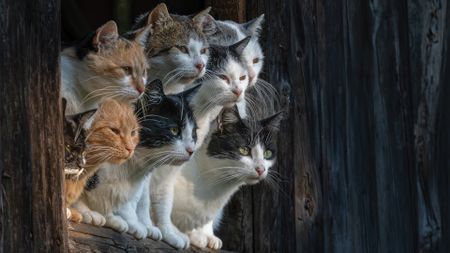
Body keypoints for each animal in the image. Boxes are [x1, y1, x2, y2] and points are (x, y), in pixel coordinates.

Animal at [74, 79, 197, 241]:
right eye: (174, 130)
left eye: (194, 133)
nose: (192, 150)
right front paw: (85, 211)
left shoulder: (135, 184)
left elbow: (131, 200)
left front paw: (124, 220)